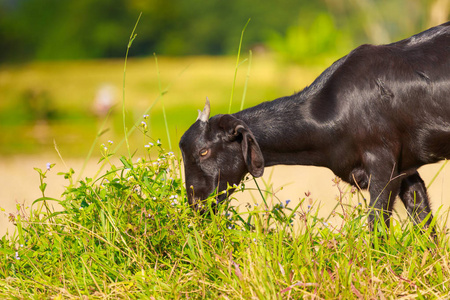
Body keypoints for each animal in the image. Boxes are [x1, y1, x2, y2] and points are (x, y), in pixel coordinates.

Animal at [179, 22, 450, 230]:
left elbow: (377, 225)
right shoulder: (407, 168)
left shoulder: (383, 163)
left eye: (203, 151)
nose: (196, 204)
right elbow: (423, 220)